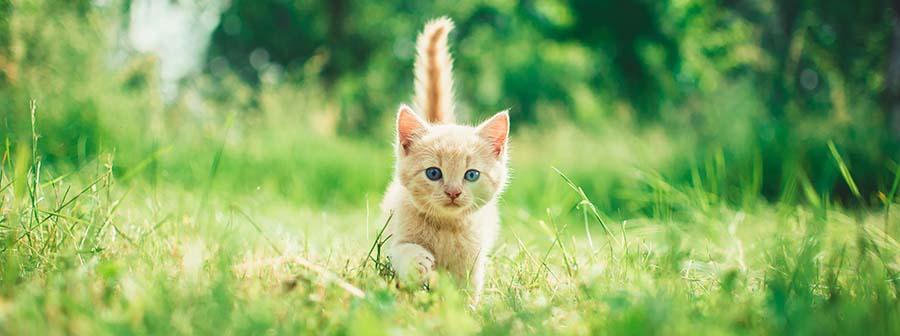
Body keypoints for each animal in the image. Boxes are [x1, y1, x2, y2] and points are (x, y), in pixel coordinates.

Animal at [382, 17, 510, 300]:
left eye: (471, 174)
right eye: (433, 173)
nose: (453, 192)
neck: (445, 227)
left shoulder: (473, 261)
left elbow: (466, 291)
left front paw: (464, 309)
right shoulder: (395, 235)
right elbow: (402, 250)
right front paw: (417, 260)